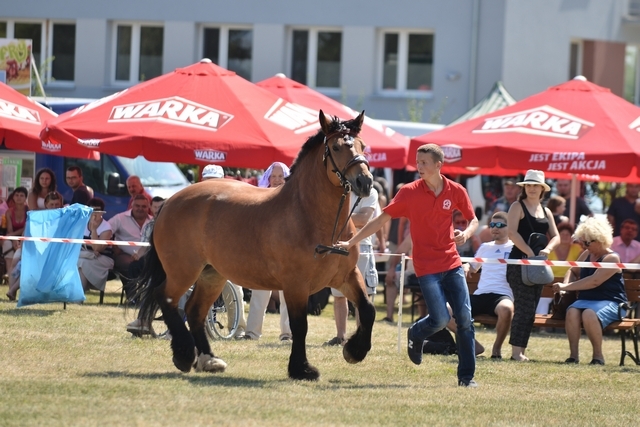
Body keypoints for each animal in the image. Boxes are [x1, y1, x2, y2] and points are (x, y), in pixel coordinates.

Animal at [136, 110, 376, 382]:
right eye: (336, 147)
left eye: (362, 146)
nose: (365, 182)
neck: (310, 215)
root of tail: (171, 201)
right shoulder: (296, 285)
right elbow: (300, 326)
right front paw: (302, 368)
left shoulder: (346, 277)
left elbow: (367, 309)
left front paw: (354, 350)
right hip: (183, 271)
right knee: (166, 298)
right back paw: (185, 354)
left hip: (212, 274)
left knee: (194, 310)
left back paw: (209, 359)